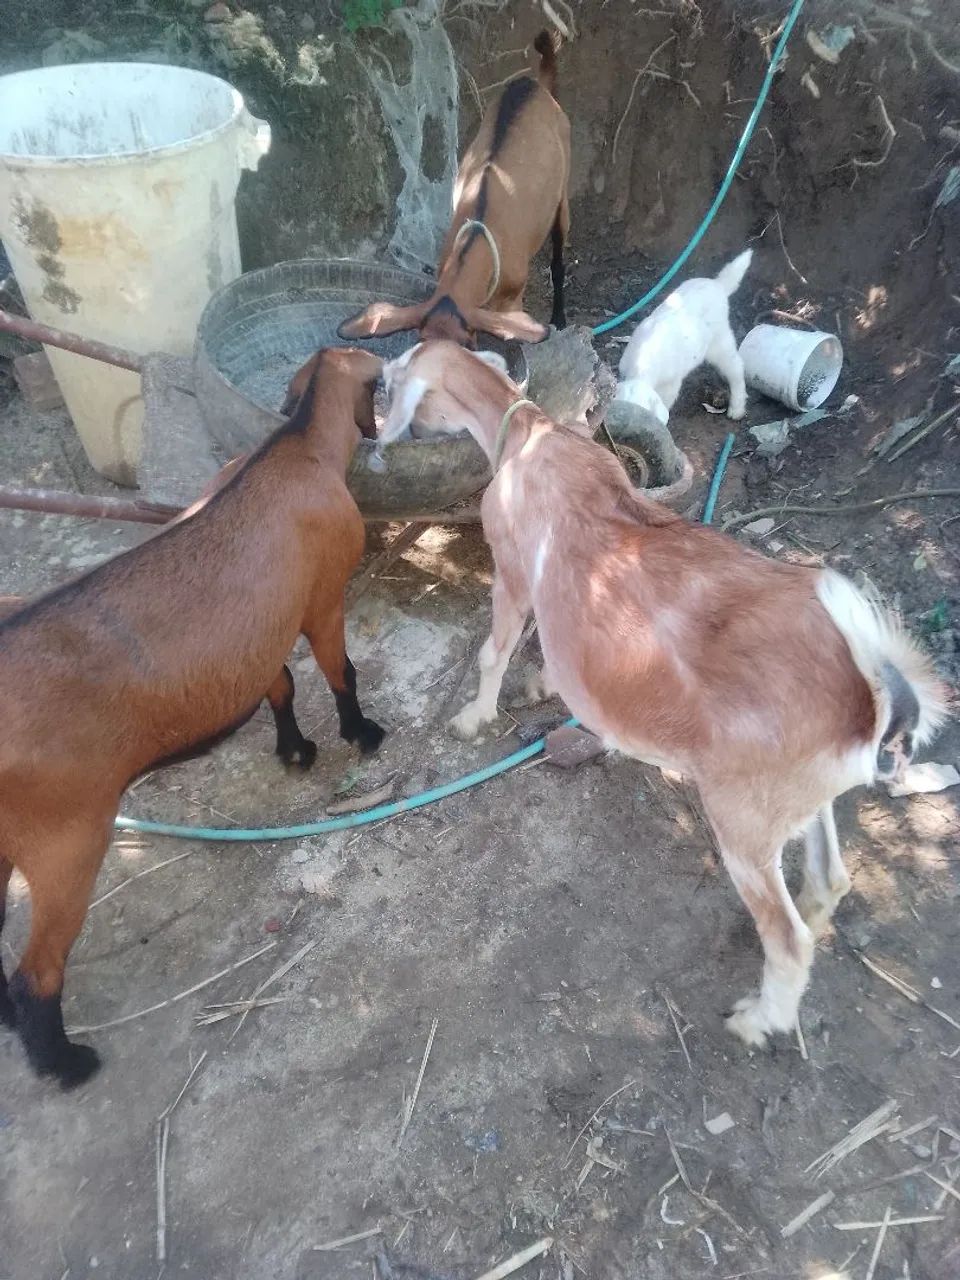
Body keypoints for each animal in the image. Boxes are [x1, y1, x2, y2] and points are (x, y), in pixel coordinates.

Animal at [0, 347, 385, 1088]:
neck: (296, 446)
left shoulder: (263, 633)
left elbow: (281, 687)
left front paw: (295, 750)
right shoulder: (322, 601)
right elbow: (338, 674)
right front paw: (362, 734)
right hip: (66, 842)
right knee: (37, 971)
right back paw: (66, 1062)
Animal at [338, 30, 570, 348]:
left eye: (466, 345)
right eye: (420, 341)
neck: (477, 238)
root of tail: (535, 85)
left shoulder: (512, 298)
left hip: (563, 190)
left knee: (558, 257)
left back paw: (560, 318)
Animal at [379, 340, 948, 1047]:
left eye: (397, 380)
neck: (528, 432)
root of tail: (865, 700)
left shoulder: (510, 570)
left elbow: (495, 651)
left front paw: (475, 717)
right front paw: (543, 685)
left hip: (742, 819)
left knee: (788, 935)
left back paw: (758, 1020)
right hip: (796, 799)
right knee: (828, 881)